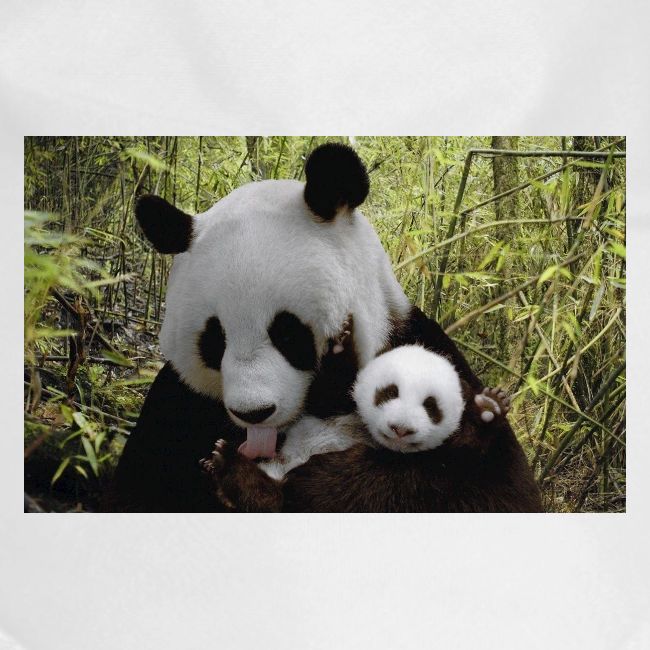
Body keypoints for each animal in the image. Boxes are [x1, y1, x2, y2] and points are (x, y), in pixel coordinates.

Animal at [108, 143, 540, 513]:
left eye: (288, 333)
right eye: (214, 340)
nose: (254, 413)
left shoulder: (421, 347)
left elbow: (489, 489)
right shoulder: (179, 403)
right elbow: (141, 487)